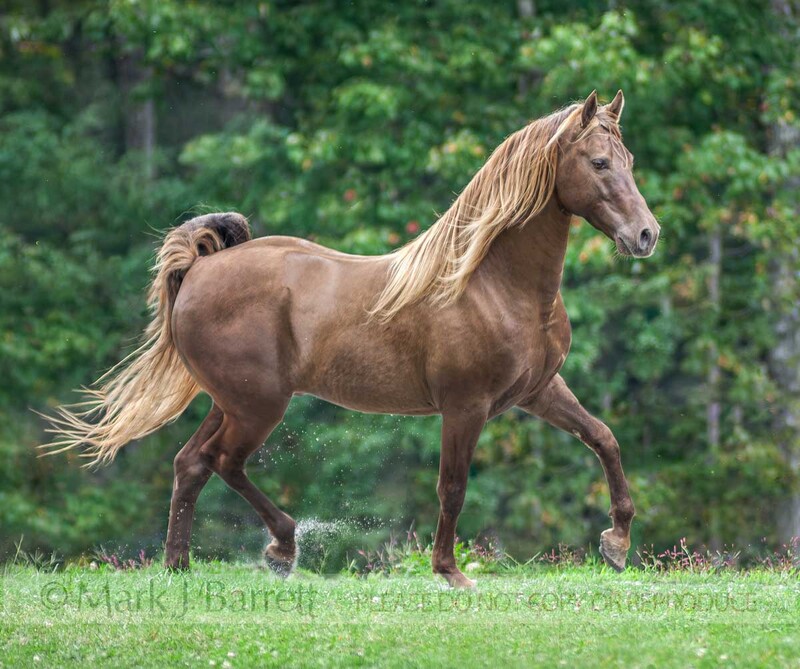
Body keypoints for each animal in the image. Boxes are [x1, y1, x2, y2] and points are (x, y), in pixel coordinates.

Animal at [44, 90, 659, 587]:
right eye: (599, 162)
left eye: (629, 161)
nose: (646, 235)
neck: (492, 282)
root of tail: (199, 269)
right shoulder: (465, 406)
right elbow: (452, 487)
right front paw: (450, 572)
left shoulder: (538, 391)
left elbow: (603, 439)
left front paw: (616, 543)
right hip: (258, 405)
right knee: (223, 462)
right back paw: (280, 547)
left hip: (231, 401)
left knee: (191, 462)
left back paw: (180, 565)